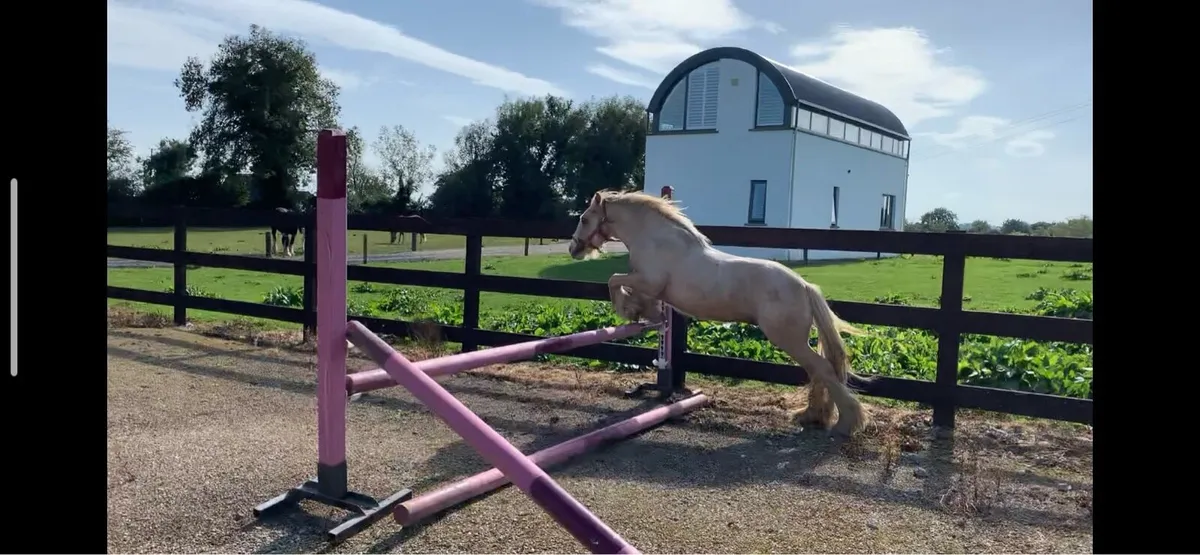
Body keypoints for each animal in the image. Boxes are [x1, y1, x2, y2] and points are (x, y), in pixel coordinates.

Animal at [567, 190, 870, 436]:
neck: (657, 240)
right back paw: (813, 417)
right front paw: (642, 312)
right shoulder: (651, 287)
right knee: (818, 371)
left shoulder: (648, 280)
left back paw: (844, 424)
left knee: (822, 369)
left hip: (788, 339)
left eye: (584, 218)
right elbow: (637, 296)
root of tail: (805, 287)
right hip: (795, 342)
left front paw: (627, 309)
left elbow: (614, 280)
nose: (573, 248)